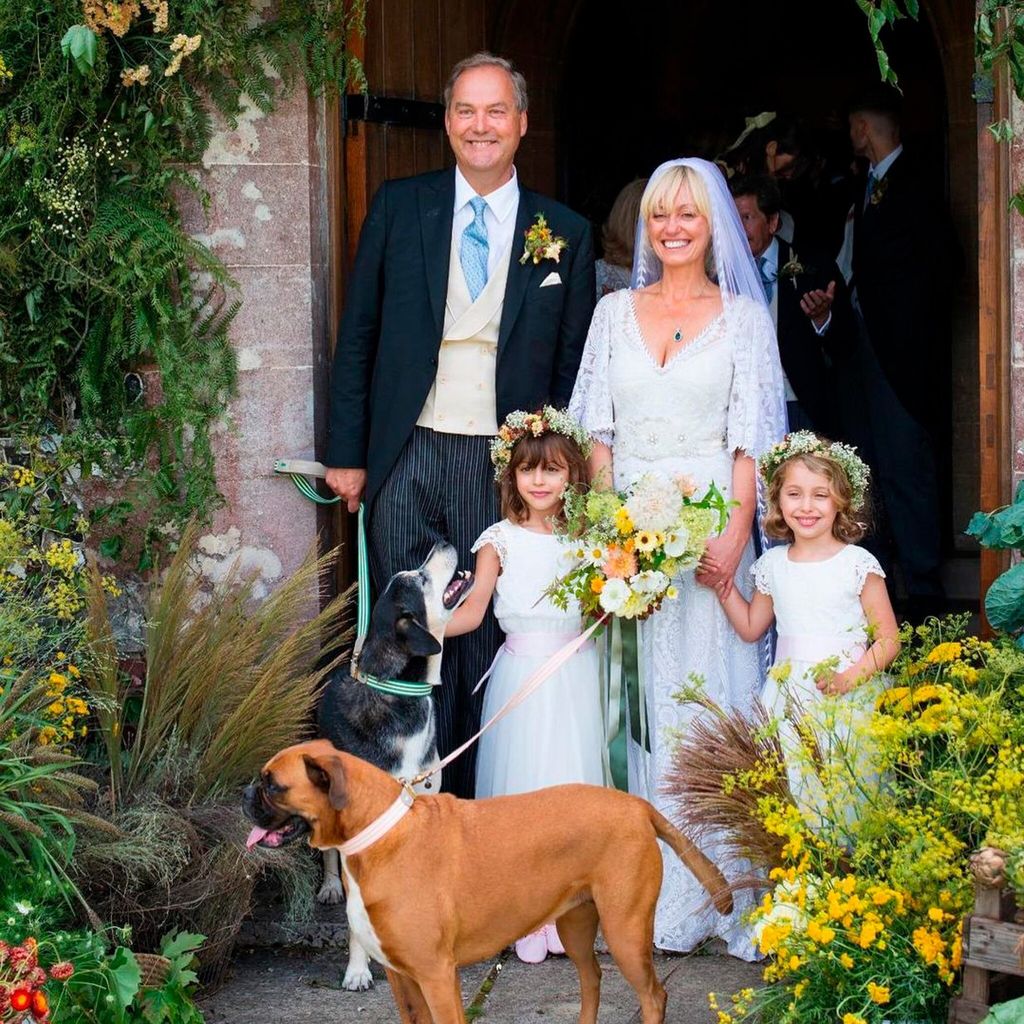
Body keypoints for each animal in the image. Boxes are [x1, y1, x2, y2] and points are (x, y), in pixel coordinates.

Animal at [244, 741, 733, 1019]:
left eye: (273, 785)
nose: (245, 792)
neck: (380, 832)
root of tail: (636, 805)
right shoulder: (404, 981)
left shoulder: (437, 978)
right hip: (576, 927)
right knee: (592, 978)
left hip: (625, 932)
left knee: (653, 995)